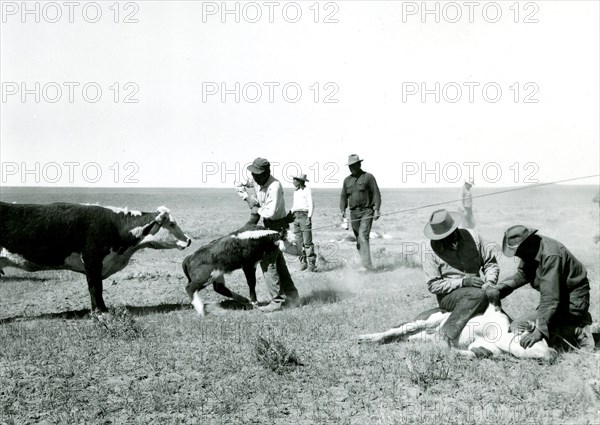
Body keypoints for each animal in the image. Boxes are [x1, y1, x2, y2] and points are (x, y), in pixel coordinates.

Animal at [356, 292, 556, 362]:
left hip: (418, 335)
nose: (554, 353)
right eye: (538, 340)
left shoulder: (484, 348)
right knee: (393, 331)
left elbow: (479, 353)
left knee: (401, 336)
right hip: (426, 321)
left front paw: (453, 352)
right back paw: (366, 338)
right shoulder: (492, 311)